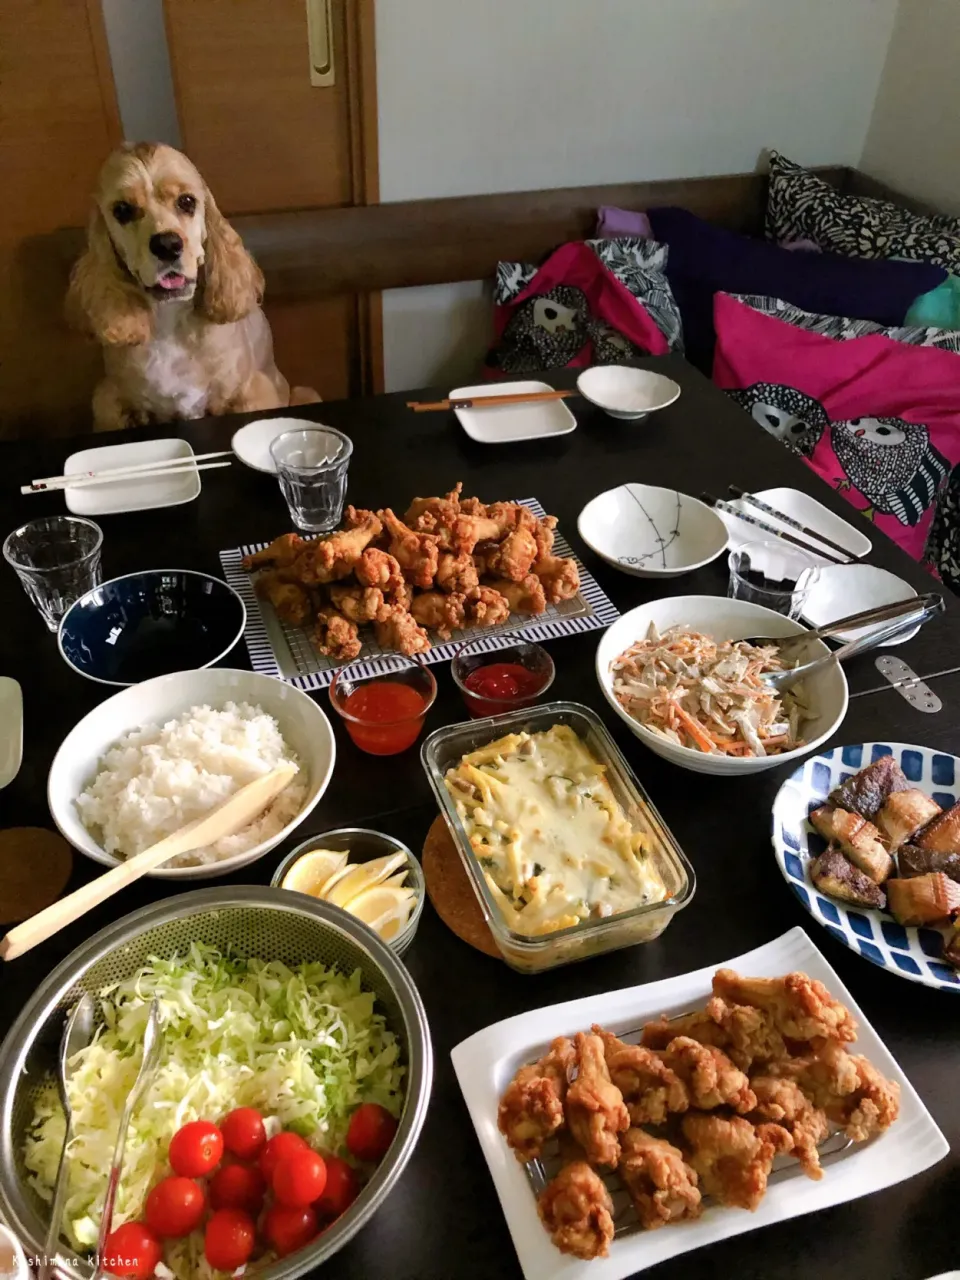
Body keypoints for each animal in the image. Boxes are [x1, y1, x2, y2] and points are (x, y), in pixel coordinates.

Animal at [68, 140, 316, 430]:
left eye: (186, 201)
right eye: (122, 210)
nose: (167, 244)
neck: (170, 321)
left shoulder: (250, 391)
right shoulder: (113, 400)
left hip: (304, 393)